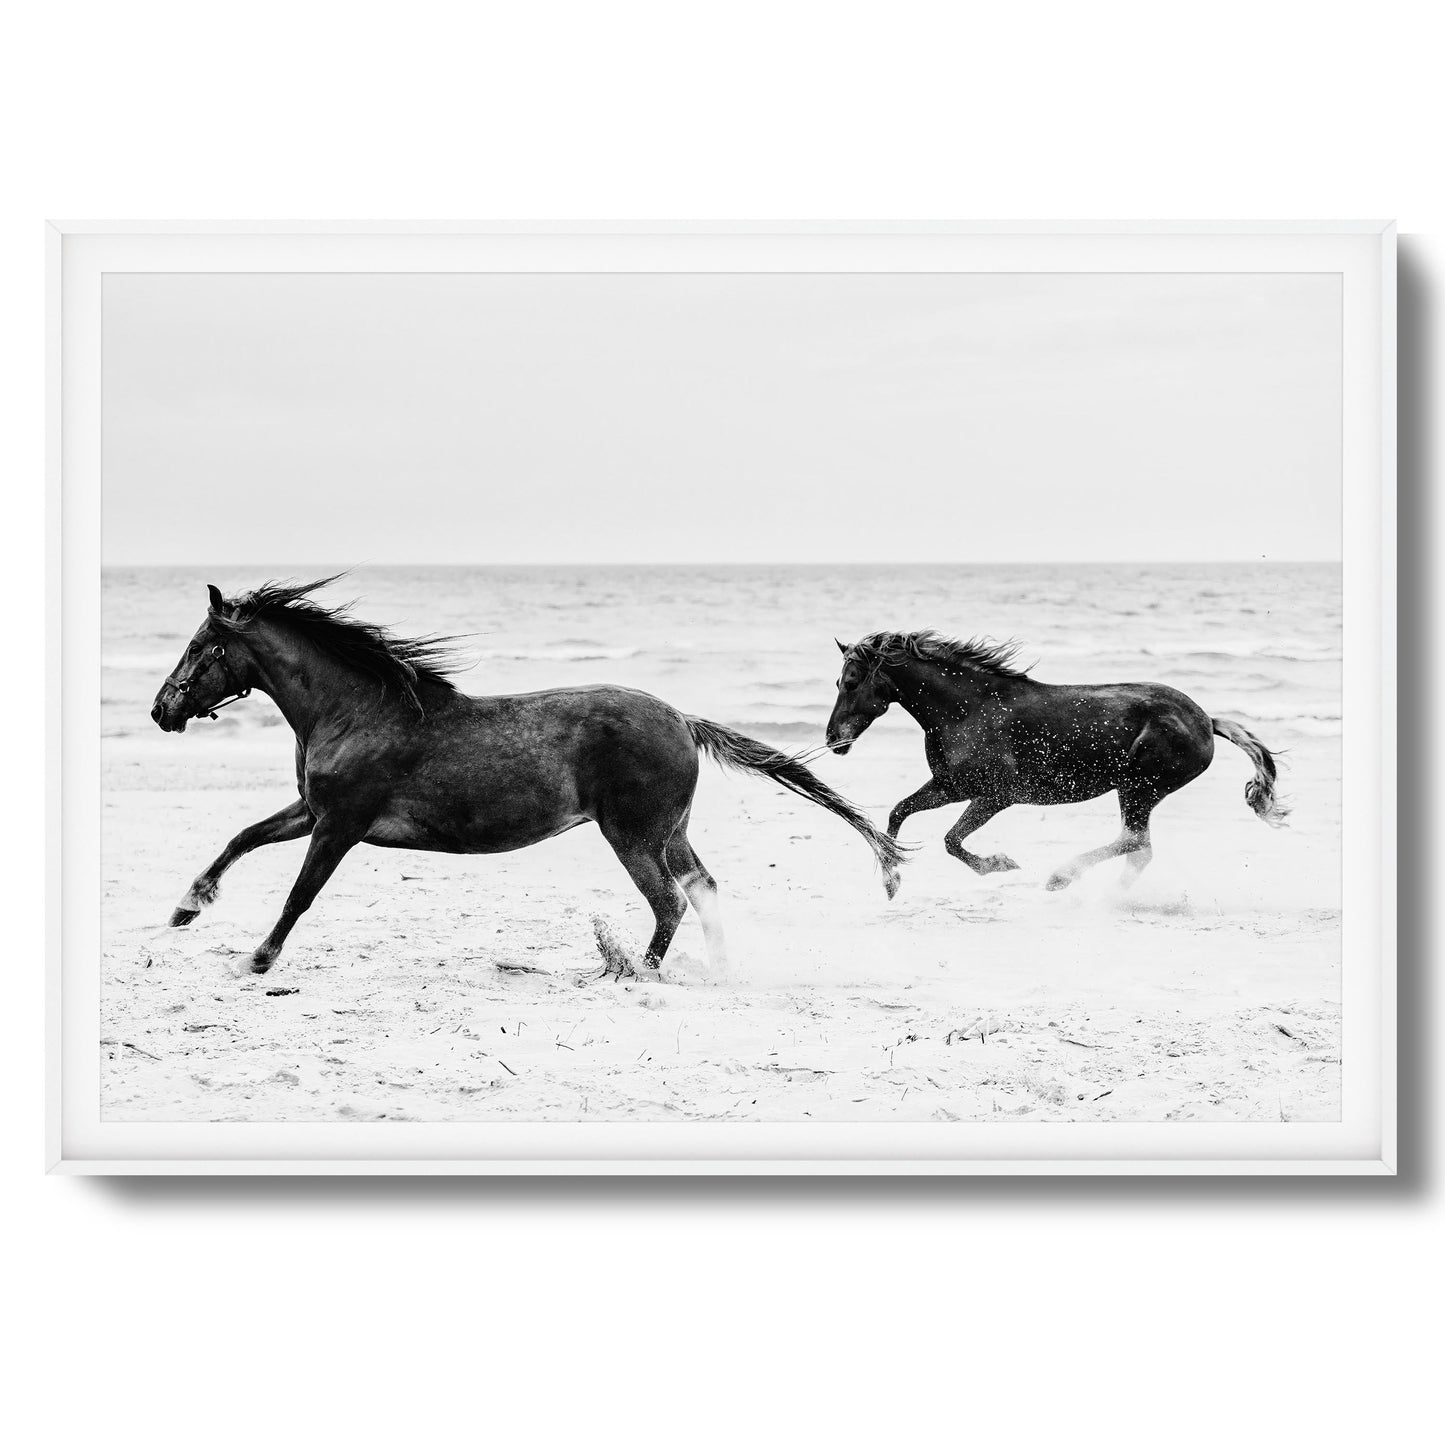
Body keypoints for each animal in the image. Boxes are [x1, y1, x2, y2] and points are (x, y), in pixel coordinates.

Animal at [150, 578, 906, 980]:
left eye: (199, 646)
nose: (161, 710)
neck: (357, 711)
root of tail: (683, 720)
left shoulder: (340, 825)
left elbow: (299, 895)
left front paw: (257, 959)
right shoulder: (313, 812)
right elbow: (241, 837)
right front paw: (185, 909)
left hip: (631, 835)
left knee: (668, 902)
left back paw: (637, 974)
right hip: (670, 832)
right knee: (703, 890)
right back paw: (716, 971)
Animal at [824, 630, 1288, 892]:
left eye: (852, 681)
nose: (832, 740)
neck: (967, 710)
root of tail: (1206, 721)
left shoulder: (995, 795)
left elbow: (951, 840)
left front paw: (1000, 865)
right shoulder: (952, 787)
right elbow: (898, 814)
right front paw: (891, 880)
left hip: (1139, 788)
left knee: (1135, 844)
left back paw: (1063, 880)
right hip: (1138, 792)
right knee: (1138, 849)